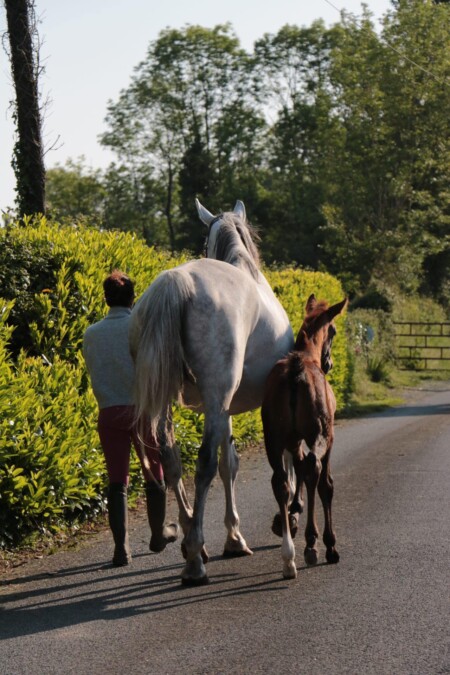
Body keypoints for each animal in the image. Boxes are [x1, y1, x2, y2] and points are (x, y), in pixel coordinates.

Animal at [129, 199, 294, 585]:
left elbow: (227, 463)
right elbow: (228, 464)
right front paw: (240, 535)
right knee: (201, 466)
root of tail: (177, 281)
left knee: (171, 459)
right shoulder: (231, 404)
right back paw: (194, 560)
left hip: (172, 402)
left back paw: (192, 536)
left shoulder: (222, 408)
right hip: (217, 399)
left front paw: (231, 536)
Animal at [261, 293, 348, 579]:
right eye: (333, 330)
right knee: (313, 468)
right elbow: (325, 484)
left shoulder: (292, 439)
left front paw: (289, 516)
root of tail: (296, 373)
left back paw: (289, 557)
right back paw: (313, 544)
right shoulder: (328, 438)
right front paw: (328, 544)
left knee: (280, 481)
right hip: (318, 433)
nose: (329, 363)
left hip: (273, 438)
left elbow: (295, 469)